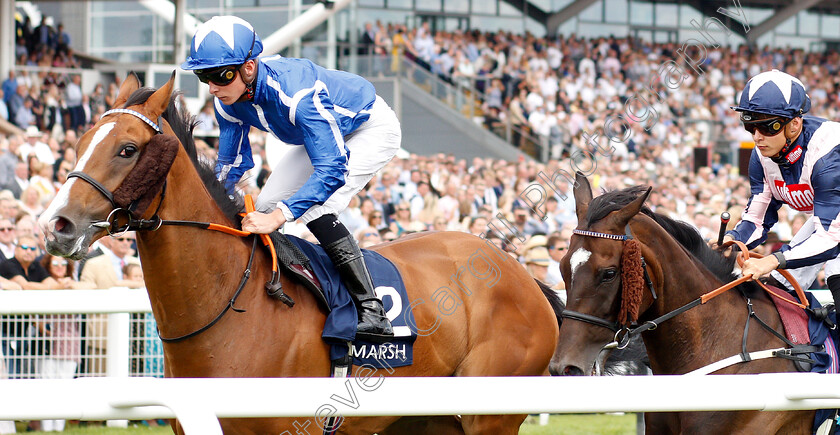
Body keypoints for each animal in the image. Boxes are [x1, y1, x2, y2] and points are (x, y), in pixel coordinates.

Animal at [42, 73, 560, 434]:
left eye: (127, 149)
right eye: (81, 141)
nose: (56, 225)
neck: (228, 306)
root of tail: (522, 274)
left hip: (489, 415)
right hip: (426, 419)